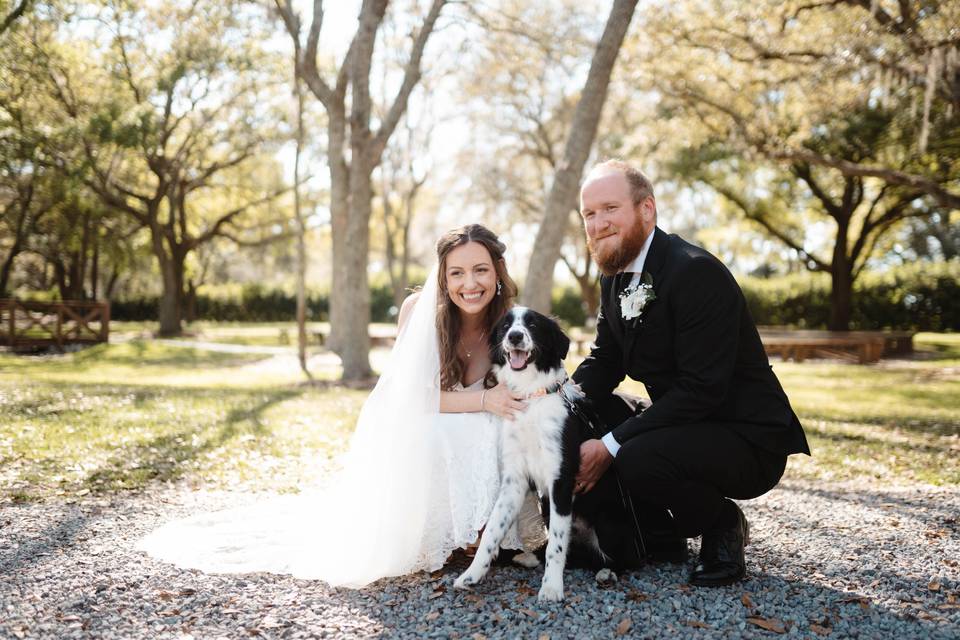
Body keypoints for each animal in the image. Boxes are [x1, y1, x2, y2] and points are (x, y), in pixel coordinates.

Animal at [454, 308, 604, 604]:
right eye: (505, 326)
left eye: (532, 325)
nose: (514, 336)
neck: (531, 398)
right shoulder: (515, 480)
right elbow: (492, 531)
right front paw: (472, 575)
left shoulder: (561, 480)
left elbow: (557, 542)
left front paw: (552, 588)